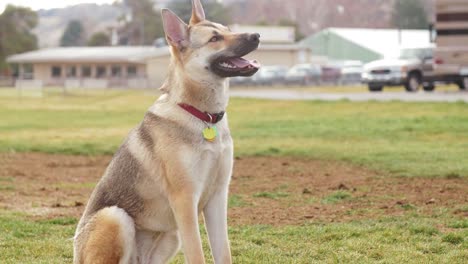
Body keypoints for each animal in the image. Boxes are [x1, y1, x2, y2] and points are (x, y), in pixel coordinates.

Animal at [75, 0, 262, 264]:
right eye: (215, 38)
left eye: (227, 29)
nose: (256, 35)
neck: (202, 116)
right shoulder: (185, 202)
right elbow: (197, 254)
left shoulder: (218, 197)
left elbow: (223, 252)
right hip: (116, 217)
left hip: (171, 236)